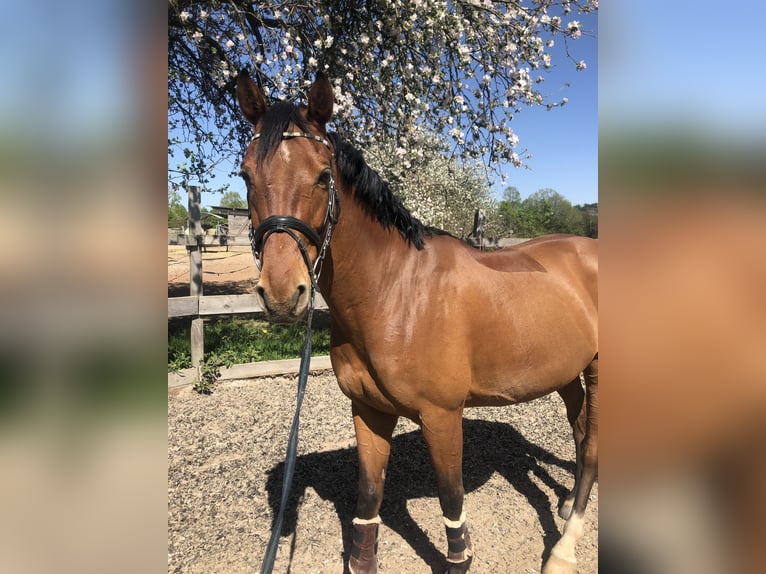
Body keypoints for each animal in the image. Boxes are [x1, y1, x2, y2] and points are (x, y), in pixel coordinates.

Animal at [235, 70, 598, 574]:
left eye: (324, 176)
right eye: (245, 175)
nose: (282, 294)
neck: (396, 294)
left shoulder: (441, 416)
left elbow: (451, 500)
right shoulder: (368, 411)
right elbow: (369, 496)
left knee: (594, 445)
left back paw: (564, 547)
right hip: (565, 371)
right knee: (581, 434)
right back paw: (565, 507)